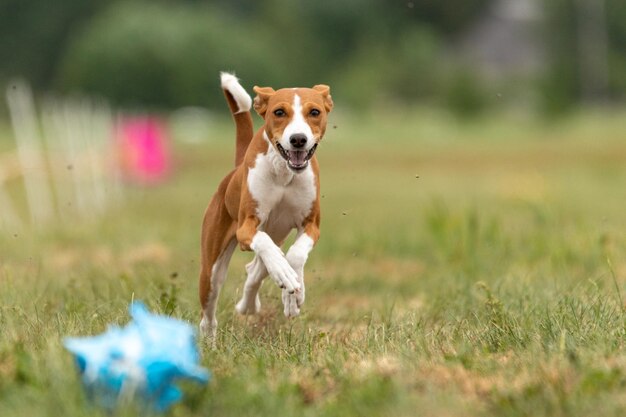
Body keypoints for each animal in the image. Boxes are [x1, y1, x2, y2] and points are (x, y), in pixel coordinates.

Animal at [199, 71, 332, 338]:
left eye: (314, 112)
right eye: (279, 112)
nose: (298, 139)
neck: (284, 173)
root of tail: (234, 171)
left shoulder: (311, 224)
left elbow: (296, 254)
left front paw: (294, 295)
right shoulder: (246, 228)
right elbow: (264, 245)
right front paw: (285, 275)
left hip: (278, 233)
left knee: (256, 268)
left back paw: (251, 304)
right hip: (211, 269)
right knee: (209, 310)